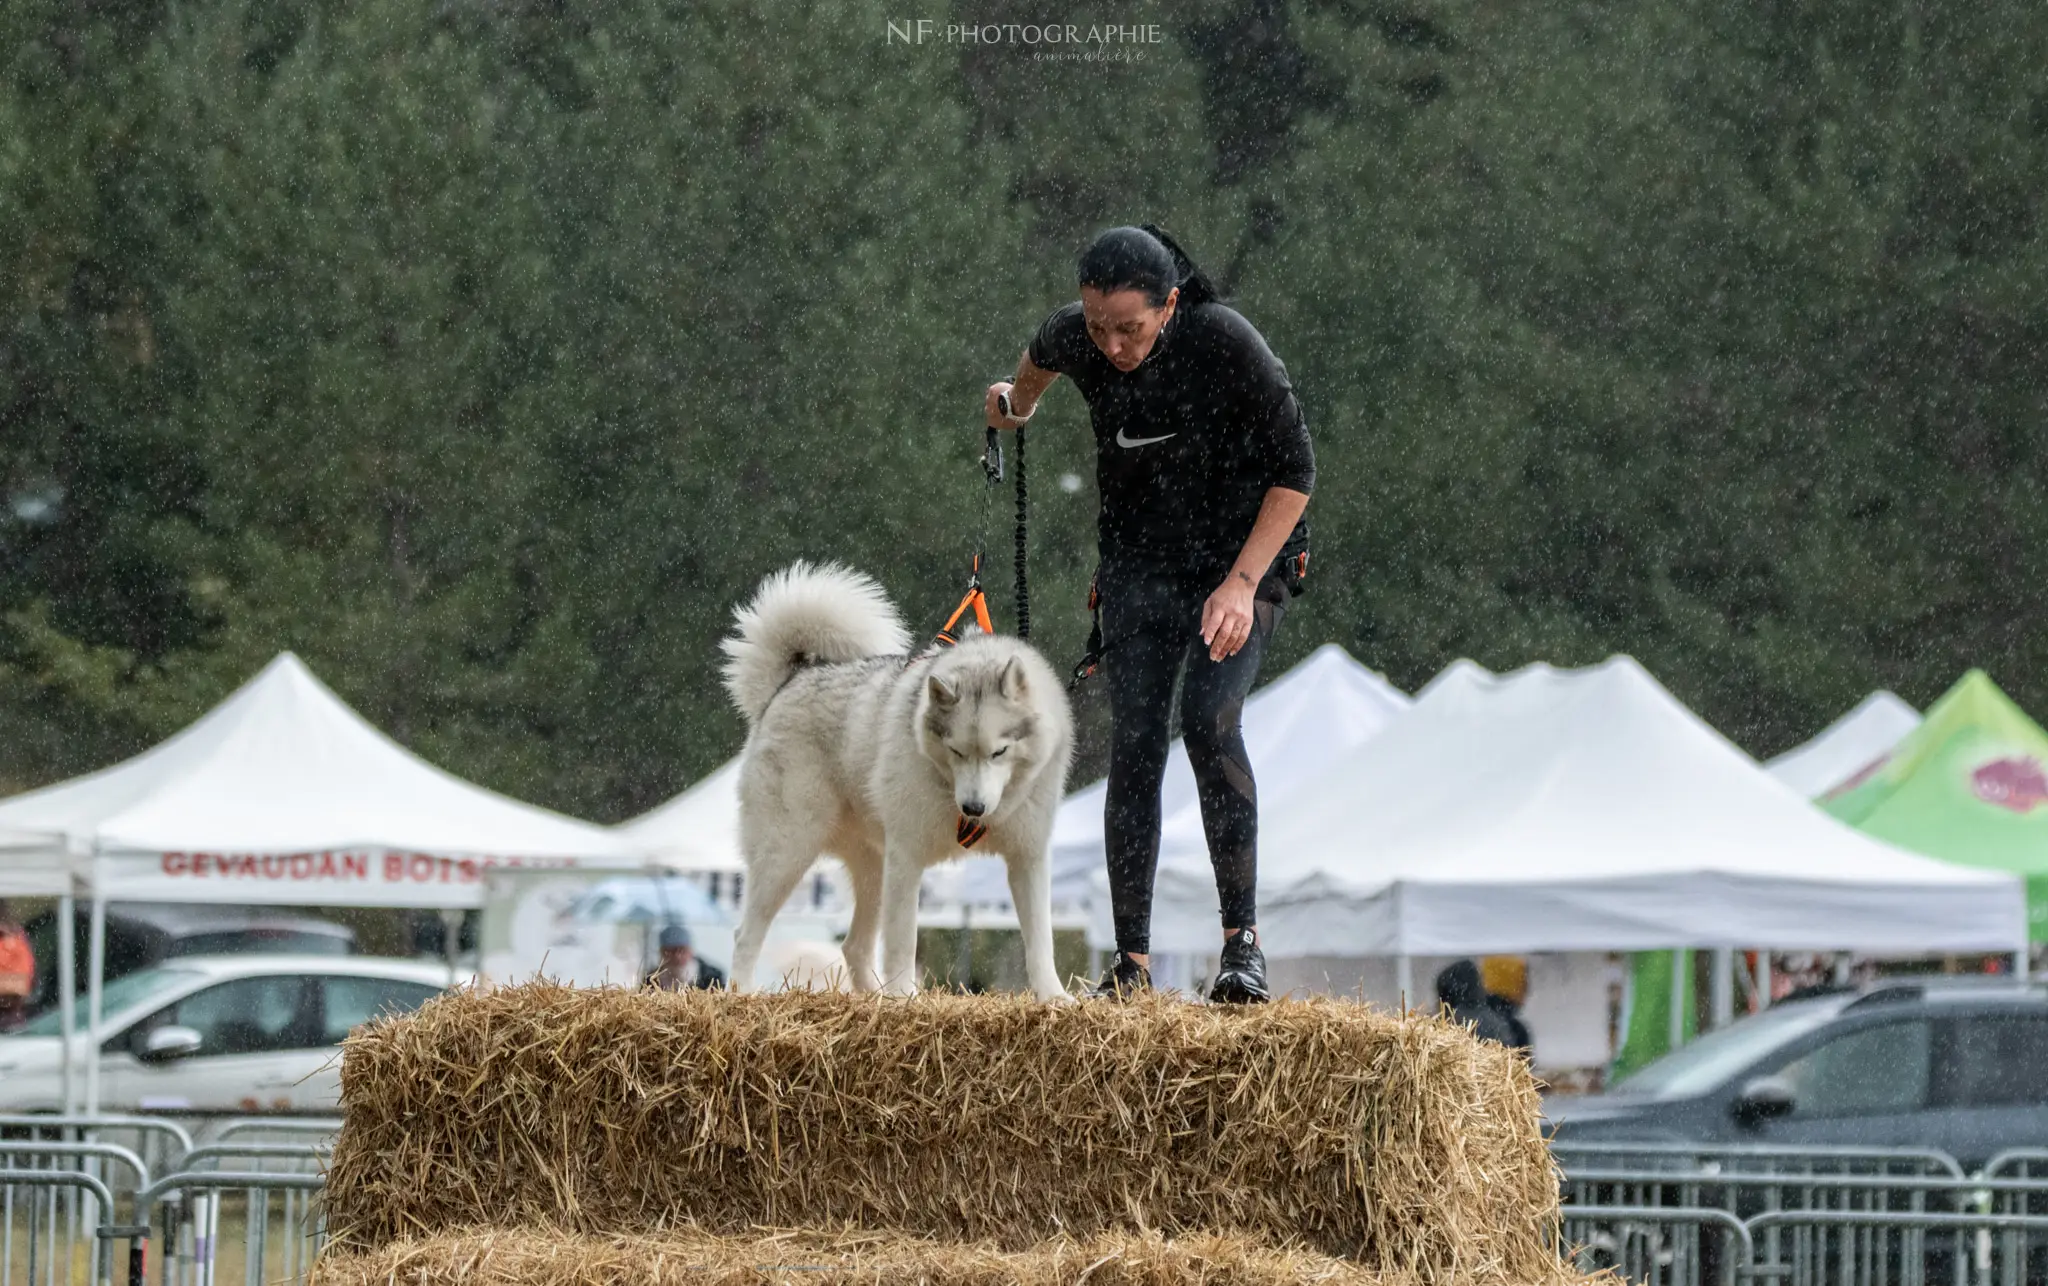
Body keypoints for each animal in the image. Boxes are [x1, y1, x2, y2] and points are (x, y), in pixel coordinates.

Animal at [720, 556, 1073, 999]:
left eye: (999, 752)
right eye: (957, 751)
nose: (973, 808)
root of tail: (788, 682)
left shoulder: (1029, 859)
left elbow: (1040, 941)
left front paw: (1054, 997)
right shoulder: (908, 857)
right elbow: (903, 940)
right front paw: (905, 996)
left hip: (872, 870)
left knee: (853, 946)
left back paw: (873, 997)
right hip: (787, 855)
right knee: (745, 934)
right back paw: (742, 993)